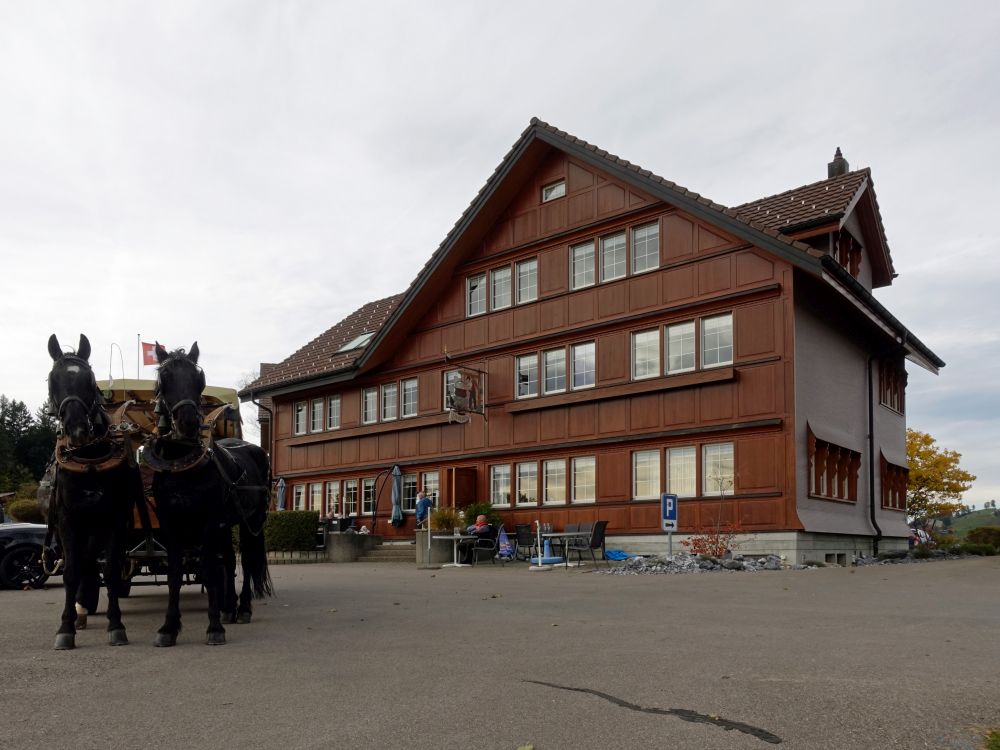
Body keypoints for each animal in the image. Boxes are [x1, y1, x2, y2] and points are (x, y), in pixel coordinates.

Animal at [45, 332, 144, 648]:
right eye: (53, 380)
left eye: (88, 379)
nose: (77, 429)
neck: (89, 459)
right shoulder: (67, 521)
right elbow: (71, 571)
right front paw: (65, 628)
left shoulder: (114, 520)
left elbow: (111, 571)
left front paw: (116, 625)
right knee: (83, 563)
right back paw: (79, 610)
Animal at [143, 342, 272, 648]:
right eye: (163, 380)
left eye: (199, 380)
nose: (188, 423)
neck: (183, 466)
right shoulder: (170, 524)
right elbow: (175, 574)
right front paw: (168, 628)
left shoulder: (209, 522)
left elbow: (211, 570)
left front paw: (214, 627)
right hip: (227, 525)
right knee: (230, 560)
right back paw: (229, 609)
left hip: (251, 521)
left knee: (247, 561)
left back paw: (243, 609)